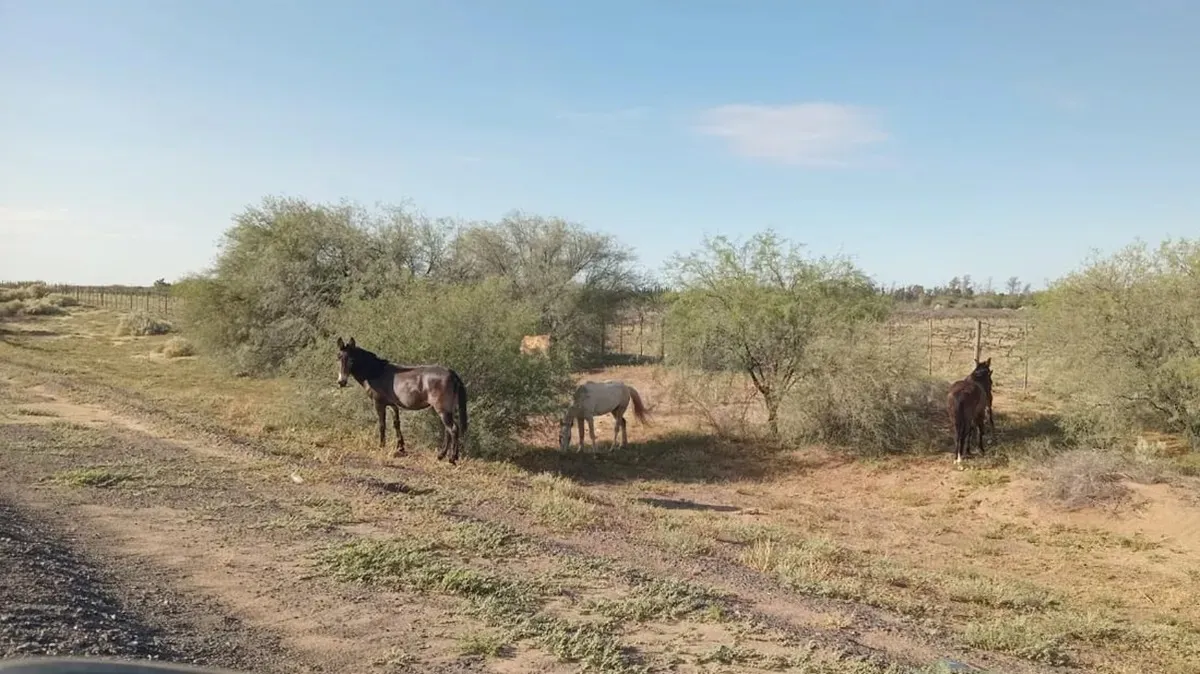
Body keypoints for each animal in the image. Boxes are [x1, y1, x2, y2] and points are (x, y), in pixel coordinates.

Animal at [335, 337, 469, 464]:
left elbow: (382, 425)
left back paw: (452, 458)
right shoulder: (393, 405)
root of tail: (452, 373)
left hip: (442, 409)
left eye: (352, 360)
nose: (341, 382)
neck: (376, 371)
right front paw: (400, 447)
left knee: (452, 429)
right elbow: (396, 424)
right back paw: (441, 455)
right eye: (338, 357)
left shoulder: (379, 403)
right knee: (448, 430)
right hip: (447, 409)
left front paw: (381, 446)